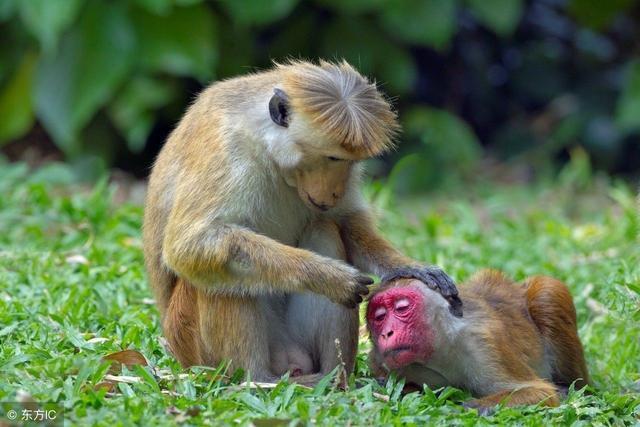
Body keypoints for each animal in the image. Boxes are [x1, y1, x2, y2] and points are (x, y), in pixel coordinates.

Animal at [142, 60, 460, 384]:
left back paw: (334, 378)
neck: (265, 144)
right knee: (218, 265)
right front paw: (327, 276)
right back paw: (257, 380)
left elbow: (346, 222)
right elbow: (191, 245)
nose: (336, 191)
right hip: (191, 340)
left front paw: (409, 268)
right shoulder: (225, 149)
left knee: (323, 228)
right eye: (333, 157)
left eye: (351, 161)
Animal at [364, 270, 592, 414]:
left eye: (402, 308)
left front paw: (465, 407)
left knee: (547, 292)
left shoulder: (484, 345)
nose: (387, 333)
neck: (439, 348)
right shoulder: (379, 360)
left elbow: (540, 393)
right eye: (379, 317)